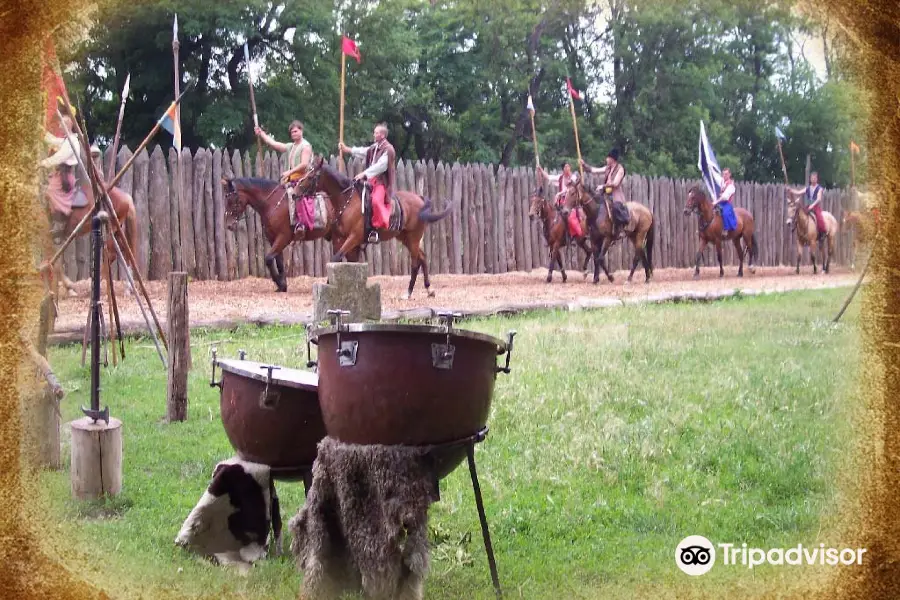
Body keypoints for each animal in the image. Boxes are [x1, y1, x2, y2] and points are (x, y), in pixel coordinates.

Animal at [220, 175, 360, 292]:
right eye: (226, 200)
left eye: (232, 200)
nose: (229, 225)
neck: (273, 202)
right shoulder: (273, 238)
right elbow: (279, 261)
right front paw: (282, 285)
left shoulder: (283, 237)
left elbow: (269, 258)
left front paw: (280, 282)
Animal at [294, 157, 454, 300]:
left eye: (311, 176)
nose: (295, 192)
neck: (347, 201)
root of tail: (420, 199)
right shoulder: (340, 239)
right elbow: (340, 262)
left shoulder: (354, 238)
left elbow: (337, 258)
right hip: (406, 238)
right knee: (422, 257)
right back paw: (429, 289)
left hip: (414, 237)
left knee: (415, 262)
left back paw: (408, 293)